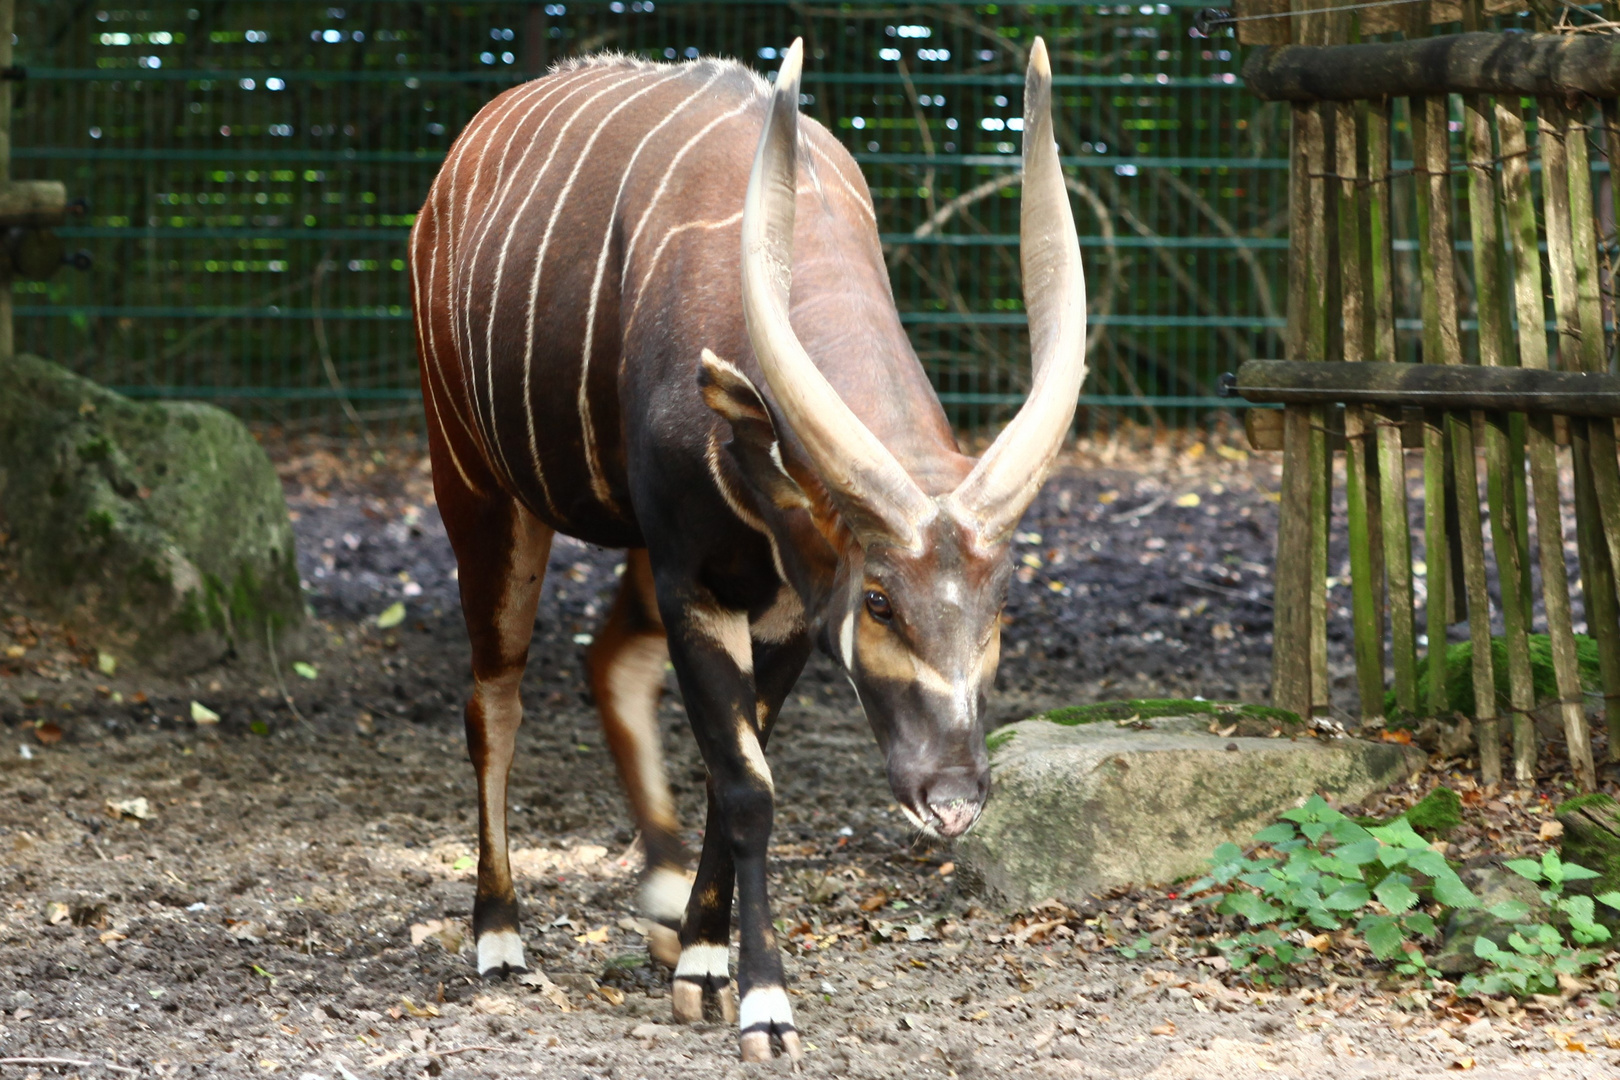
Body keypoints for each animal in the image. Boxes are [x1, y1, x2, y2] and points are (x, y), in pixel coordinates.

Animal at [408, 35, 1088, 1062]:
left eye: (1000, 601)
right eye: (880, 599)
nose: (954, 795)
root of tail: (456, 165)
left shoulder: (781, 609)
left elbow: (738, 770)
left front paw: (700, 959)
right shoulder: (697, 583)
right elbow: (746, 788)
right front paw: (762, 1001)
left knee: (609, 658)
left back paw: (655, 902)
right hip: (481, 491)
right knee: (494, 698)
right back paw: (498, 934)